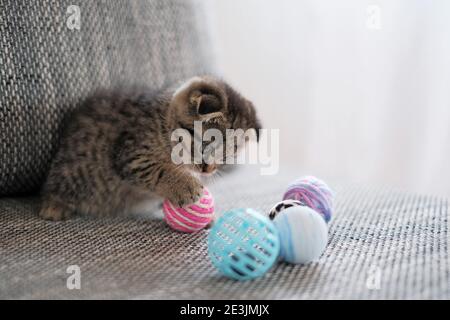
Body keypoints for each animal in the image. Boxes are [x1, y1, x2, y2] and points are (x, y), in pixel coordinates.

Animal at [41, 75, 264, 220]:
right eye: (205, 146)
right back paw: (53, 207)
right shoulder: (131, 153)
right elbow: (156, 170)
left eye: (225, 157)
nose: (208, 170)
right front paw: (186, 186)